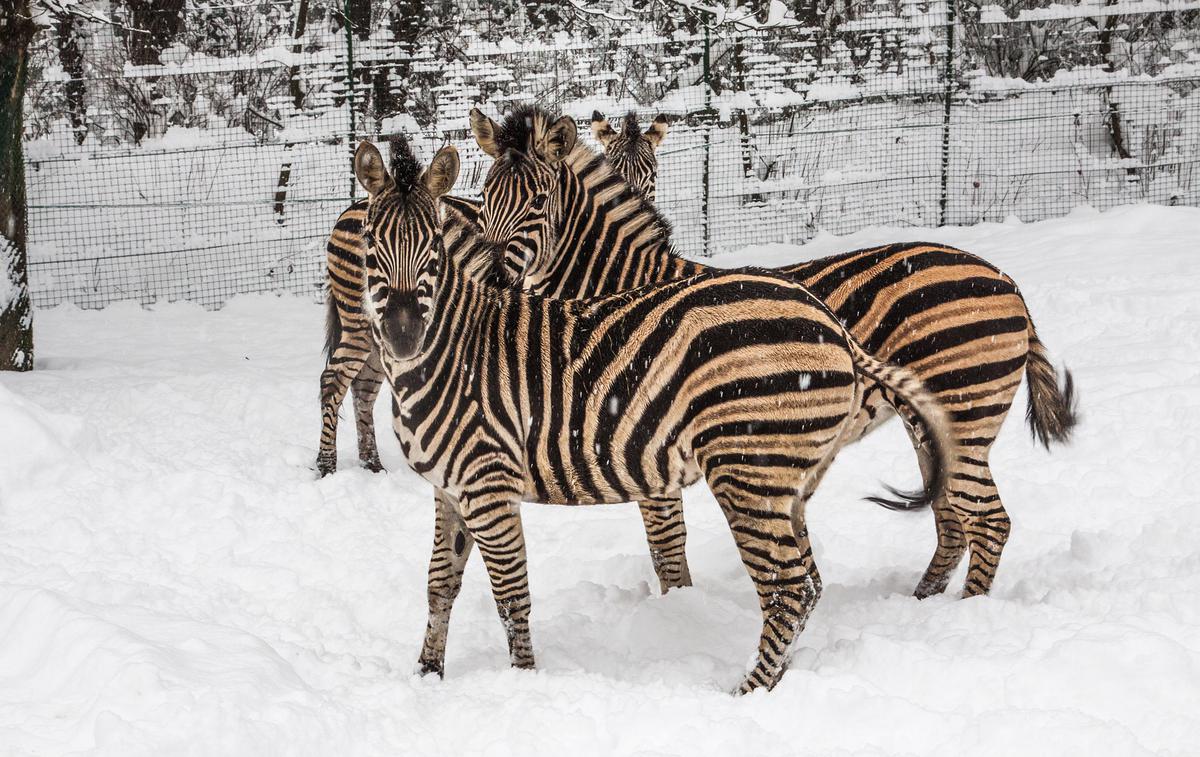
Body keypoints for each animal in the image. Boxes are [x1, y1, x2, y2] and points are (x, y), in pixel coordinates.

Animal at [350, 134, 960, 691]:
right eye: (371, 245)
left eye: (433, 250)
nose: (402, 336)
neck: (455, 347)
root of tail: (830, 321)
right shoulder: (449, 488)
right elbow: (439, 584)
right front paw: (427, 675)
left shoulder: (488, 483)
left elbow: (511, 595)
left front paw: (524, 682)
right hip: (789, 479)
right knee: (811, 582)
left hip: (750, 468)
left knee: (790, 587)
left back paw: (747, 693)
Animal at [468, 106, 1080, 602]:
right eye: (484, 199)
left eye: (538, 203)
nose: (492, 278)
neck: (623, 284)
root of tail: (1006, 281)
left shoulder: (646, 436)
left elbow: (666, 547)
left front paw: (678, 612)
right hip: (931, 422)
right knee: (953, 518)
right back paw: (920, 603)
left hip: (965, 410)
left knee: (989, 522)